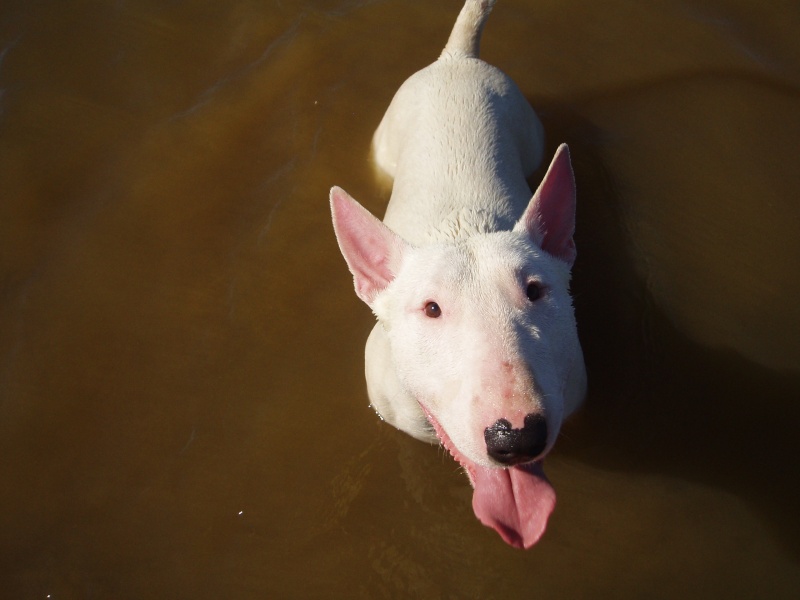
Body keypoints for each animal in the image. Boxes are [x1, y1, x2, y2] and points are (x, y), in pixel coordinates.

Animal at [328, 0, 584, 548]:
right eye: (431, 309)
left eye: (536, 290)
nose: (516, 436)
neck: (463, 224)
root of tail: (456, 58)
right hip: (386, 141)